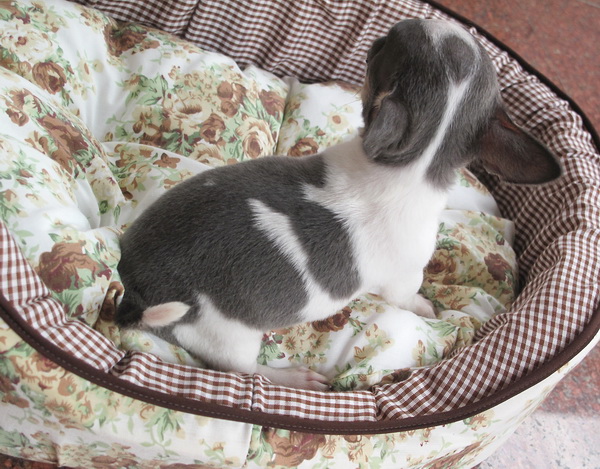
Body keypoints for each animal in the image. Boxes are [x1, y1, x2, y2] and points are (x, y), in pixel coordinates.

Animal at [116, 19, 562, 391]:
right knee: (244, 372)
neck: (411, 163)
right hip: (229, 339)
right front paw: (427, 307)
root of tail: (137, 294)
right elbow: (410, 299)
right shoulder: (404, 278)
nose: (389, 28)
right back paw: (293, 378)